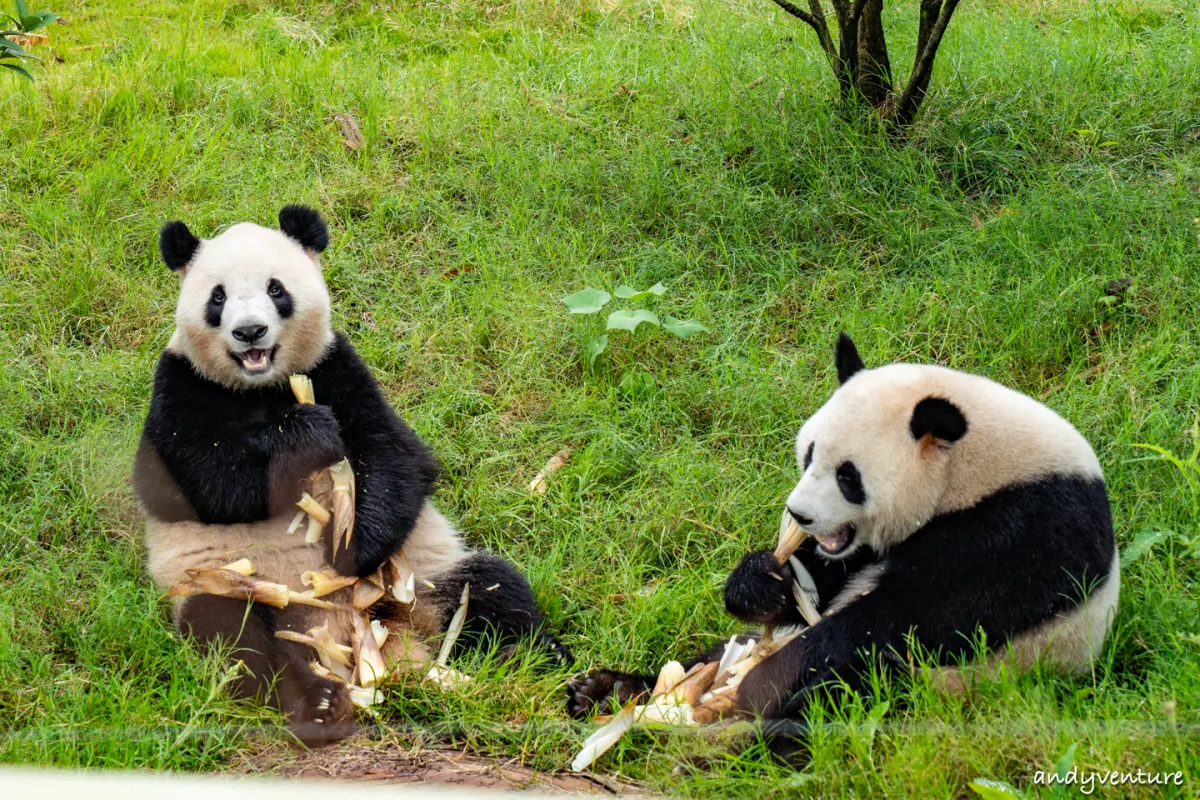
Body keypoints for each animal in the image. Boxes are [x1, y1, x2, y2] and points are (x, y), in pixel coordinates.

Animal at [134, 205, 570, 746]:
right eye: (218, 297)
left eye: (276, 289)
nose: (250, 331)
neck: (262, 387)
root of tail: (367, 641)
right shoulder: (180, 384)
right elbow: (187, 482)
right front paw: (305, 437)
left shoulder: (338, 367)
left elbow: (397, 457)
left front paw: (351, 546)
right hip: (230, 584)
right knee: (235, 638)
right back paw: (316, 701)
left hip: (423, 577)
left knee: (491, 590)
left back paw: (541, 658)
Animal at [569, 334, 1118, 748]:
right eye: (809, 453)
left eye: (848, 476)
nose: (798, 514)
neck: (970, 466)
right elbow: (824, 580)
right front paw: (761, 581)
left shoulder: (1024, 526)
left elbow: (922, 617)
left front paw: (765, 682)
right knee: (714, 654)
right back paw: (607, 691)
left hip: (954, 684)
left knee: (855, 689)